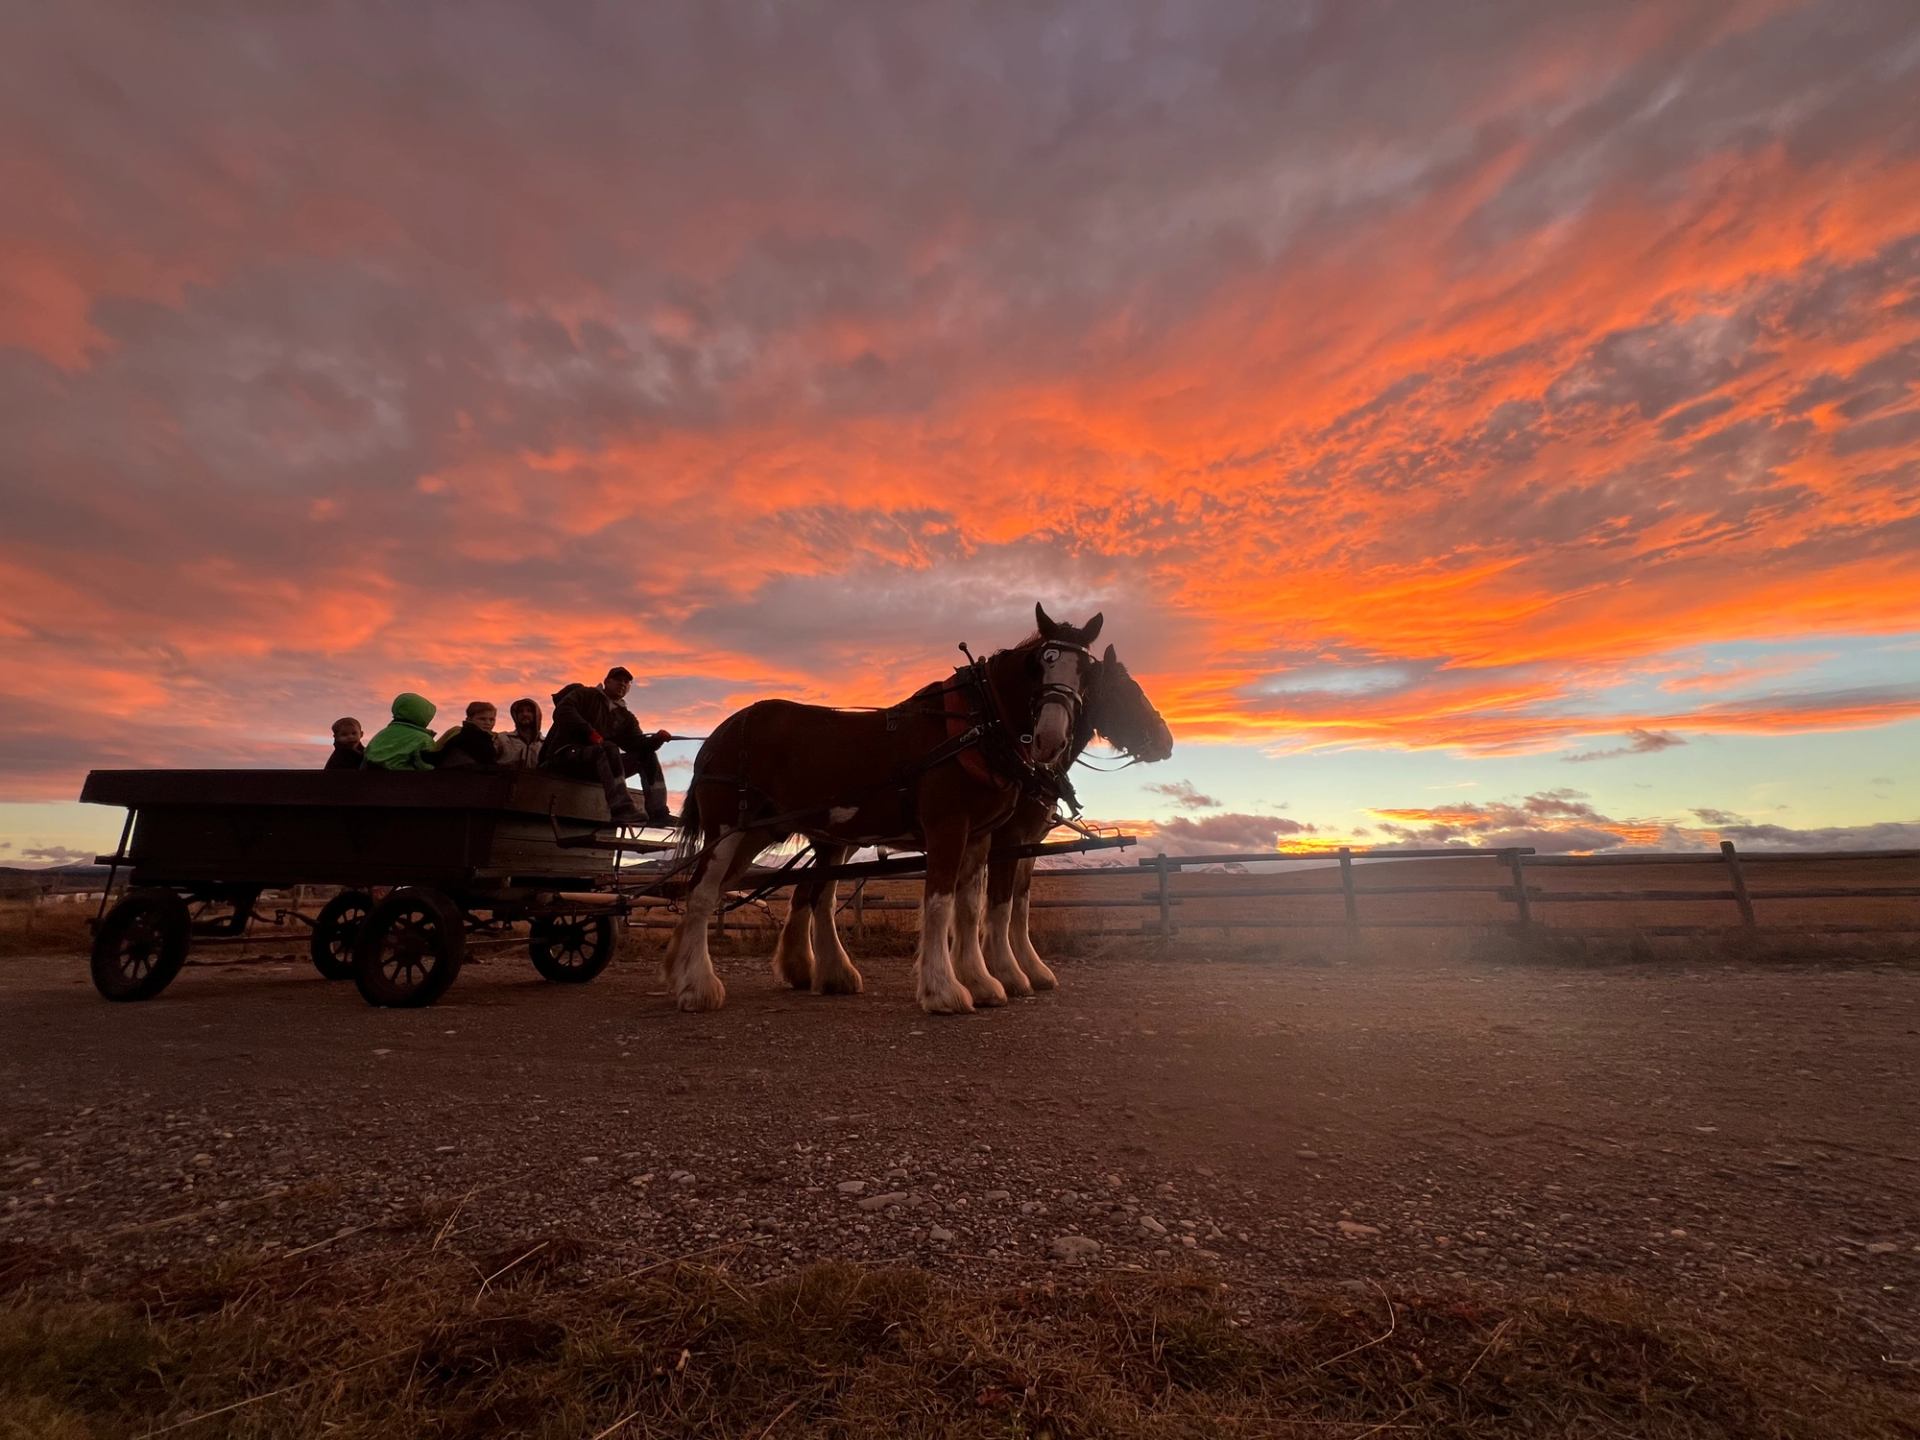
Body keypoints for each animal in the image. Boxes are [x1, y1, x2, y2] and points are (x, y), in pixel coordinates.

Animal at [663, 605, 1105, 1014]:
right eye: (1041, 663)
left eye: (1086, 670)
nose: (1050, 738)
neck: (974, 727)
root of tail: (721, 733)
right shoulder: (948, 828)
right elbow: (940, 904)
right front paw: (942, 990)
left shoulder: (979, 837)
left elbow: (969, 908)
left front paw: (981, 983)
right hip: (727, 829)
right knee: (701, 894)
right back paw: (698, 988)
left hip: (757, 834)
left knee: (724, 892)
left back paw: (685, 972)